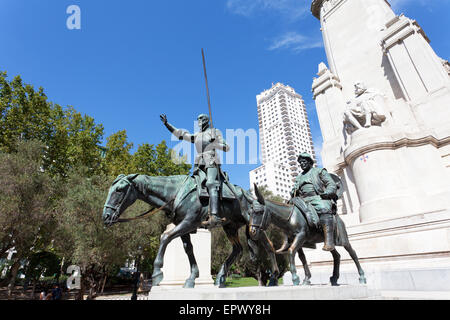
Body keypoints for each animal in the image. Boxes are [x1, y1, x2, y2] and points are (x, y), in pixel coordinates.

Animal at [102, 174, 280, 288]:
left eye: (119, 190)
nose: (106, 216)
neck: (174, 192)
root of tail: (252, 197)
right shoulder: (184, 227)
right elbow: (188, 249)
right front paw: (192, 277)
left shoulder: (188, 223)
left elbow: (165, 238)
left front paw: (157, 273)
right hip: (230, 226)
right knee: (238, 249)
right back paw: (220, 277)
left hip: (255, 227)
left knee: (269, 246)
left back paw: (274, 277)